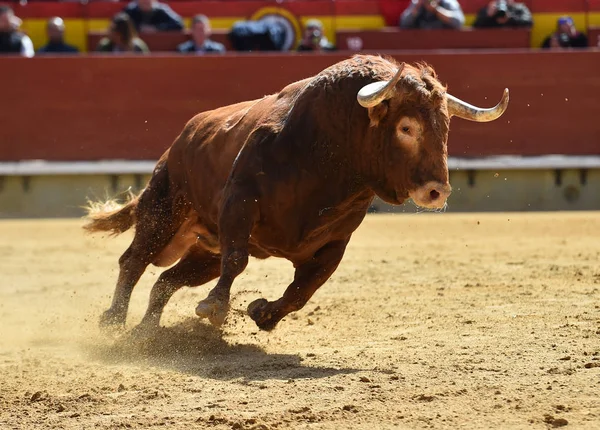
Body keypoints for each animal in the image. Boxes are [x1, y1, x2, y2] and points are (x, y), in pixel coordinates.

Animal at [83, 53, 506, 334]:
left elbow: (304, 290)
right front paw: (216, 307)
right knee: (134, 260)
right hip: (165, 210)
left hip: (204, 249)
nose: (437, 191)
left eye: (446, 127)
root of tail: (180, 141)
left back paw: (145, 332)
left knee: (167, 280)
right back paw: (113, 321)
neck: (329, 159)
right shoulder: (239, 203)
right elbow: (238, 259)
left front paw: (262, 312)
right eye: (407, 127)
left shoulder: (335, 242)